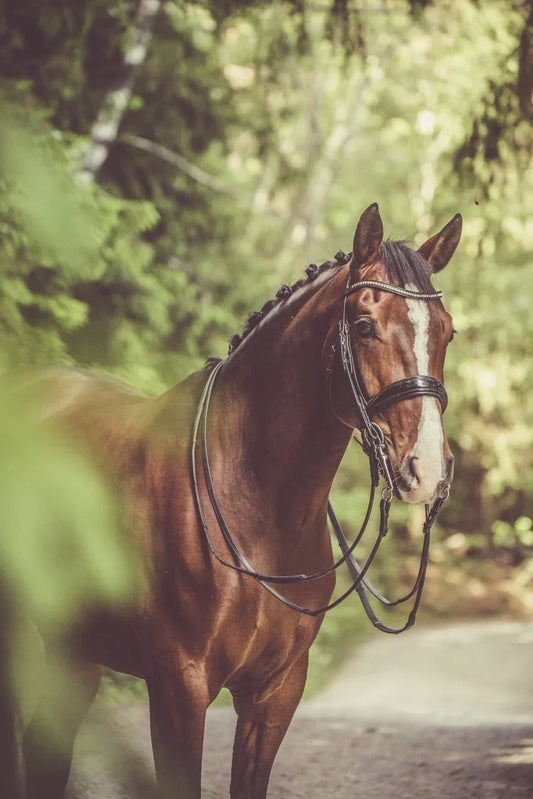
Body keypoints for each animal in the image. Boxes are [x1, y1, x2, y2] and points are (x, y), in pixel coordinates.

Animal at [21, 203, 461, 799]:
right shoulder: (179, 690)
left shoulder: (274, 694)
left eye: (447, 332)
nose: (427, 469)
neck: (257, 505)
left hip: (74, 652)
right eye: (365, 326)